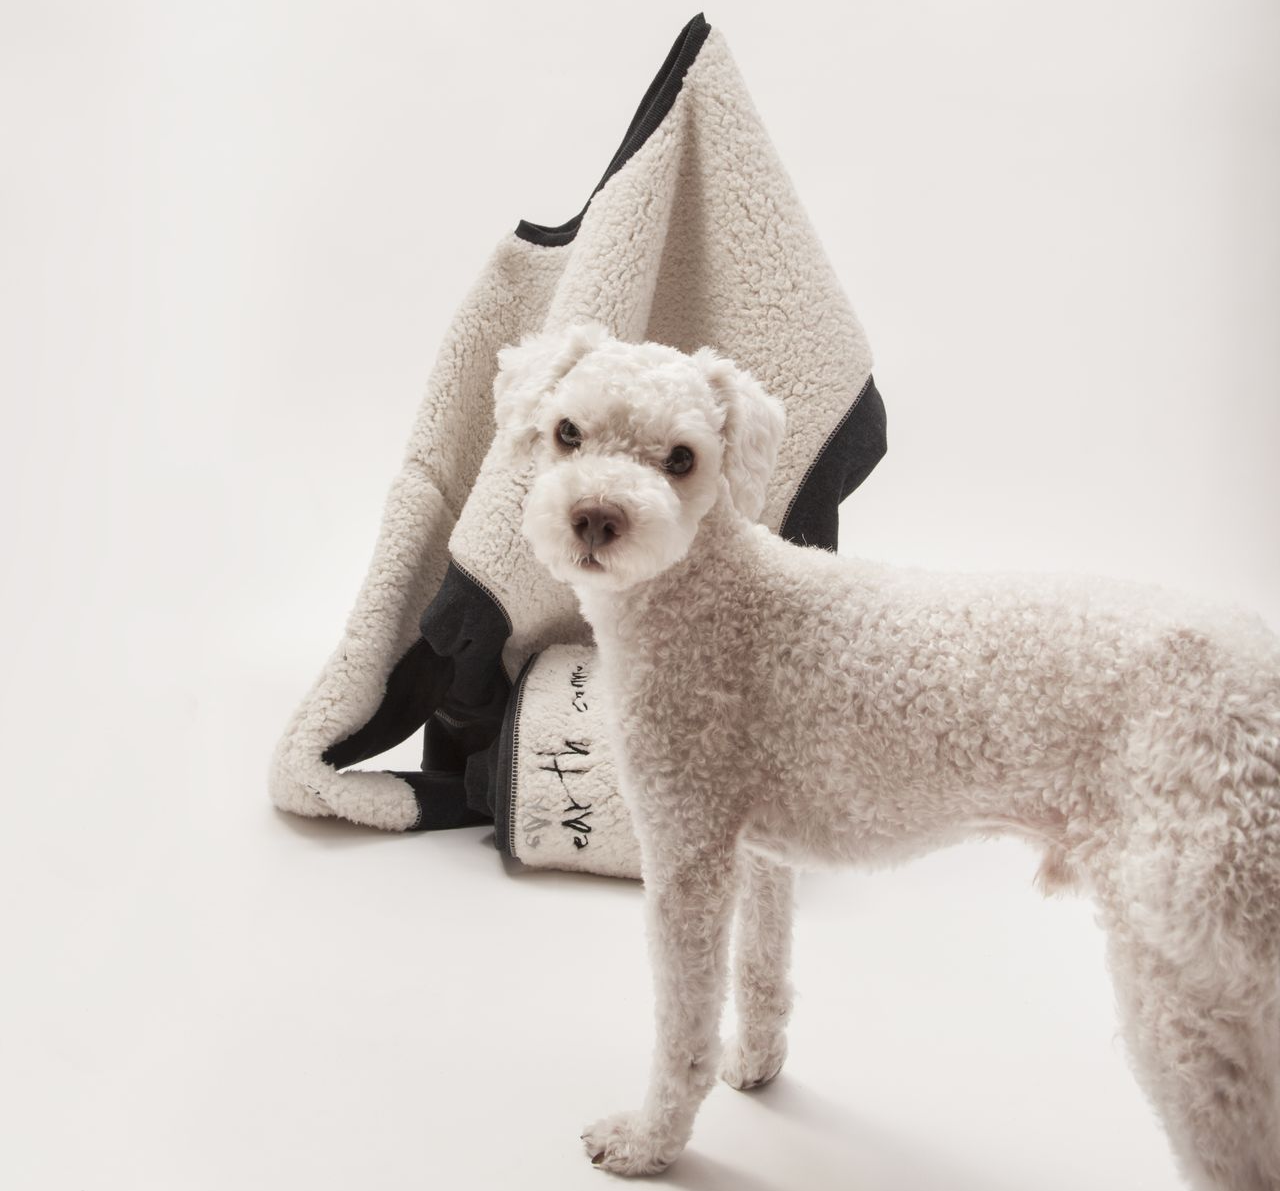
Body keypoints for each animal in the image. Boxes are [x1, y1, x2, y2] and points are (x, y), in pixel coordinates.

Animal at [495, 322, 1280, 1189]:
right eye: (568, 432)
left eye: (682, 458)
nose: (596, 518)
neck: (706, 596)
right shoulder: (759, 849)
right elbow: (762, 970)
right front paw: (756, 1065)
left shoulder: (686, 851)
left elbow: (682, 1027)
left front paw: (650, 1140)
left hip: (1185, 978)